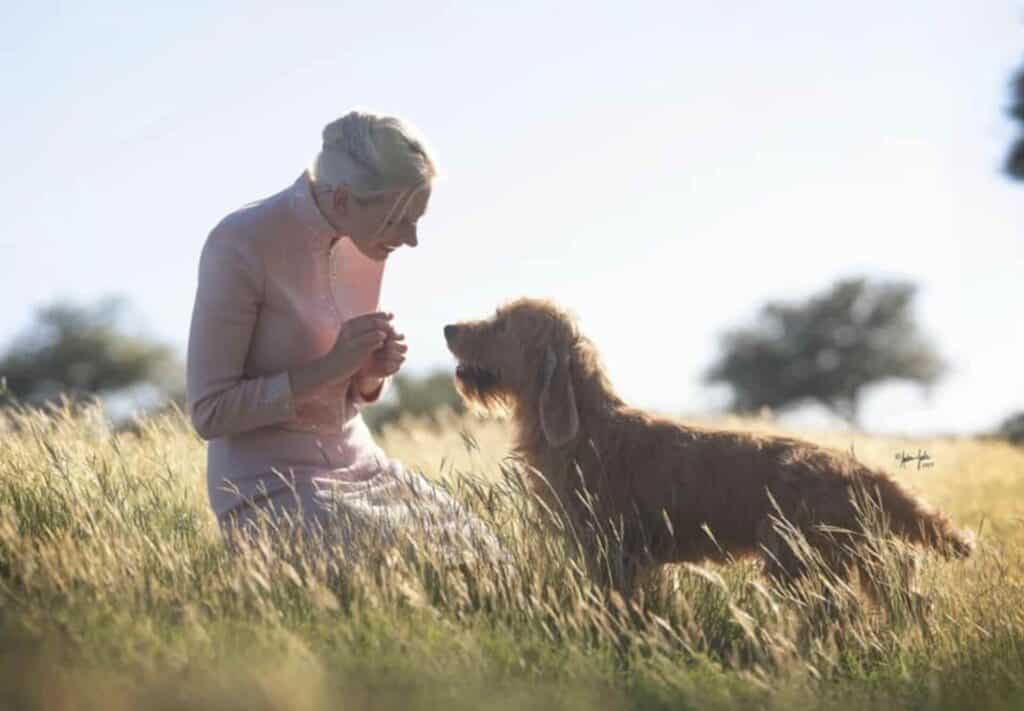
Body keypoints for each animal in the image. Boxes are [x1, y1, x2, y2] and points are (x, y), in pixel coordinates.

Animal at [444, 297, 970, 594]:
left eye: (502, 324)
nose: (448, 328)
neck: (587, 426)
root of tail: (854, 467)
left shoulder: (612, 552)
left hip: (799, 562)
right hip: (844, 558)